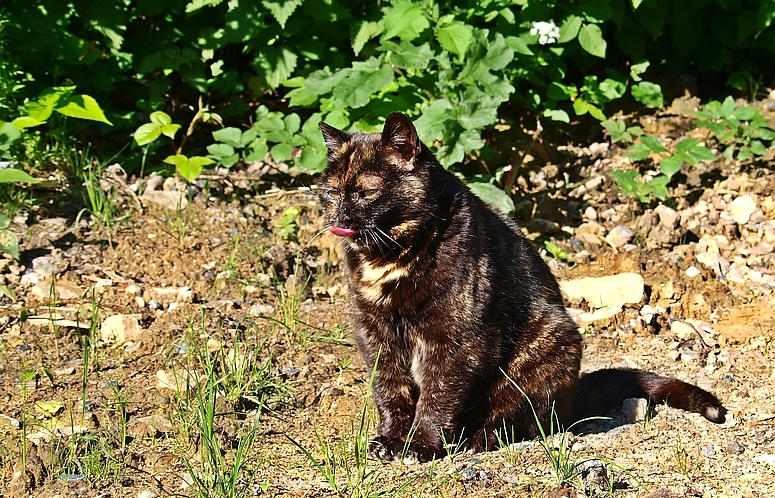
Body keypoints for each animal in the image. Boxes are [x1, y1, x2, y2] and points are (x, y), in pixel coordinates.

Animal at [316, 112, 728, 462]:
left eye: (366, 192)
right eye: (332, 192)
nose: (341, 215)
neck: (389, 260)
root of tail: (576, 391)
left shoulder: (455, 339)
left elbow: (437, 397)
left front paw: (422, 445)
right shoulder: (377, 335)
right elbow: (390, 391)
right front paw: (390, 440)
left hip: (547, 344)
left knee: (522, 422)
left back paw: (473, 440)